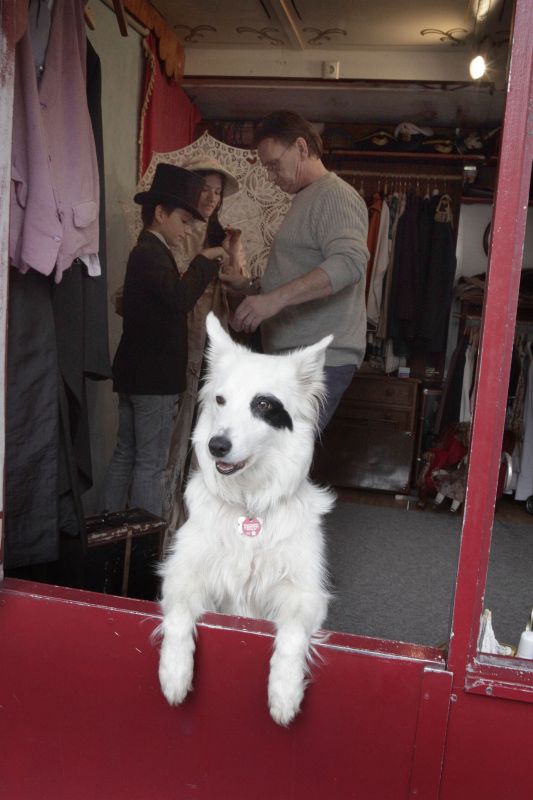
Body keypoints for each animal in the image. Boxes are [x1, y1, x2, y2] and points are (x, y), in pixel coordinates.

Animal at [158, 312, 334, 725]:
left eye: (263, 404)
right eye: (220, 400)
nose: (215, 446)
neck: (248, 503)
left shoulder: (305, 593)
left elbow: (291, 633)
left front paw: (284, 693)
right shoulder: (183, 574)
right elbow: (178, 615)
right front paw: (174, 673)